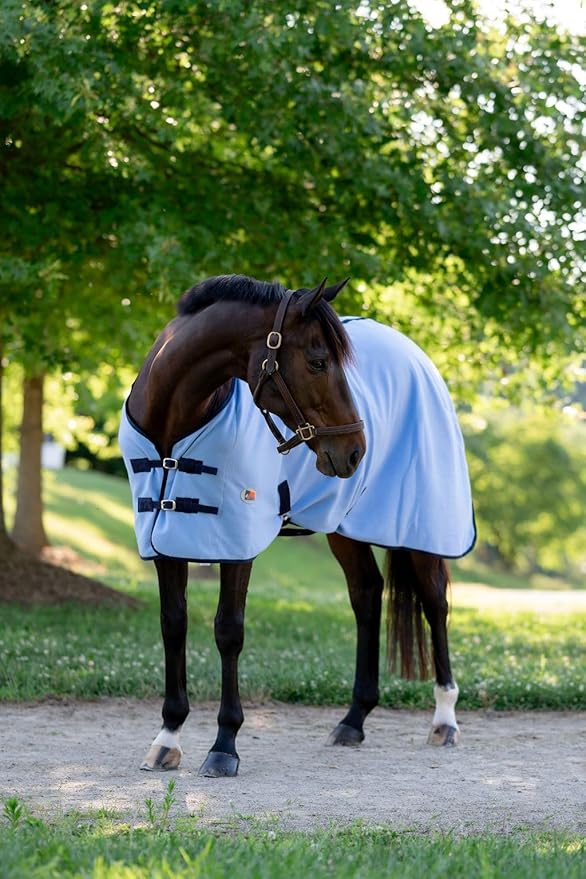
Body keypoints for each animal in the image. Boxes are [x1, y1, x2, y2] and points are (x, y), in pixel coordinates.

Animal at [120, 274, 475, 777]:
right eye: (318, 361)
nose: (355, 450)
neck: (174, 427)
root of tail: (419, 359)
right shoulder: (164, 538)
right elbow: (174, 625)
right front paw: (167, 736)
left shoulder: (237, 541)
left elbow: (229, 632)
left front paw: (224, 745)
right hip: (344, 528)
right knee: (367, 594)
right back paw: (353, 720)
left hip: (420, 525)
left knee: (434, 603)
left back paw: (444, 720)